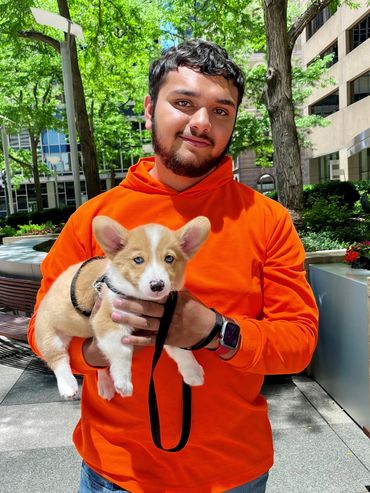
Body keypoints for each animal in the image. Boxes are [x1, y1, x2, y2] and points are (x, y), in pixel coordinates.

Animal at [34, 215, 211, 400]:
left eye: (169, 258)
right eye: (138, 260)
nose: (157, 285)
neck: (143, 299)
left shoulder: (165, 326)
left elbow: (180, 349)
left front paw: (193, 372)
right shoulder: (110, 322)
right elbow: (122, 352)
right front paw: (123, 383)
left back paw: (105, 385)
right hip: (48, 335)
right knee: (59, 359)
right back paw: (68, 386)